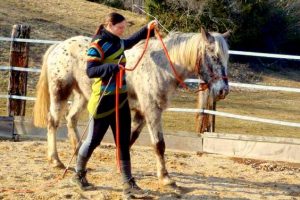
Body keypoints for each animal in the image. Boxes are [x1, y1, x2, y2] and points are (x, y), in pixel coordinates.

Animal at [33, 27, 230, 188]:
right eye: (214, 56)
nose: (223, 90)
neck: (161, 67)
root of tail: (59, 46)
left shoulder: (141, 114)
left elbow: (128, 141)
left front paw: (120, 167)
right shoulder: (152, 111)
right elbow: (159, 145)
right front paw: (165, 178)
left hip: (83, 96)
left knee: (71, 119)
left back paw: (76, 151)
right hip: (60, 92)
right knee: (53, 122)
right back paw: (55, 160)